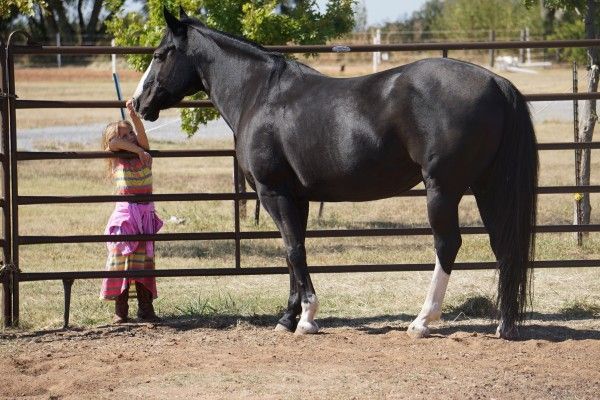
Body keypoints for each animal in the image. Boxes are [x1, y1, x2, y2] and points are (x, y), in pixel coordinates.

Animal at [132, 8, 540, 340]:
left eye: (159, 54)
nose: (137, 103)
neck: (260, 95)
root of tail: (497, 83)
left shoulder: (273, 192)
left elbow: (293, 250)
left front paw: (307, 318)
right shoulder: (295, 197)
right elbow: (293, 250)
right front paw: (288, 317)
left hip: (443, 188)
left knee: (447, 244)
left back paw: (422, 321)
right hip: (487, 186)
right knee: (502, 243)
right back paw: (505, 325)